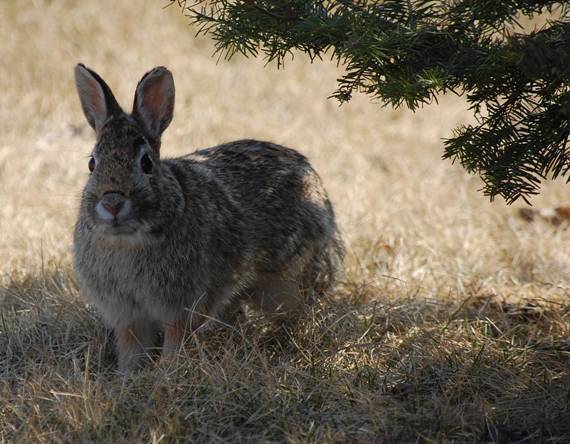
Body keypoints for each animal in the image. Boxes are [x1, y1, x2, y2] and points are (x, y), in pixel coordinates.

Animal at [73, 64, 344, 372]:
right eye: (92, 164)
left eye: (146, 163)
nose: (113, 204)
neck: (127, 240)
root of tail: (318, 188)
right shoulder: (127, 314)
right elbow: (132, 346)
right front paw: (129, 375)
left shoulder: (184, 305)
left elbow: (176, 339)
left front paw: (168, 370)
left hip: (282, 285)